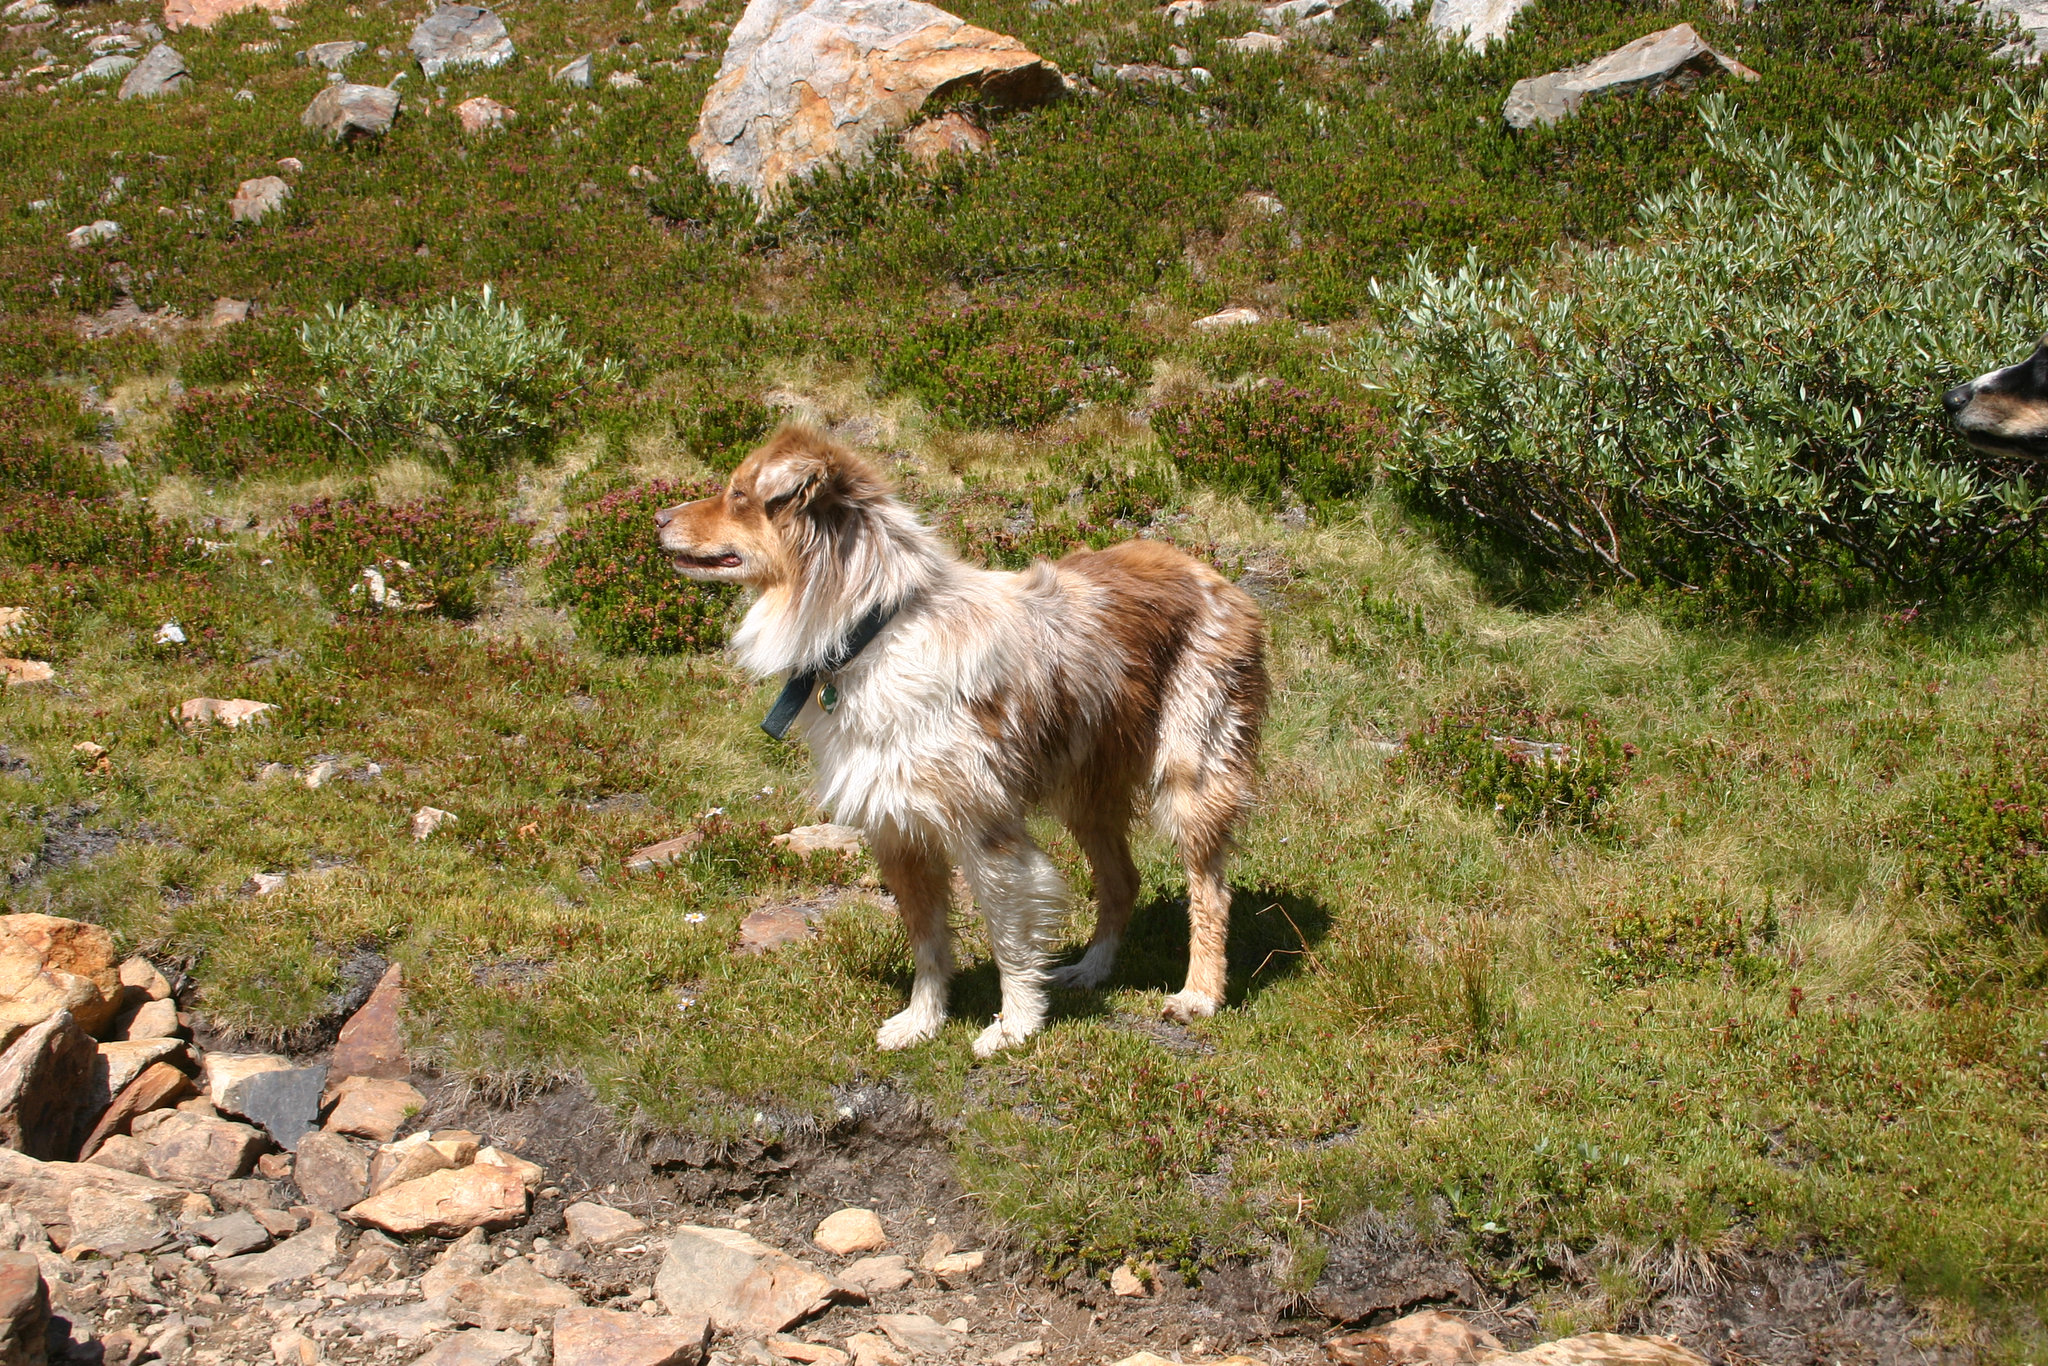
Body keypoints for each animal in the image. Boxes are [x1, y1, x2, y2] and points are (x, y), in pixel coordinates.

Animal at [655, 428, 1261, 1056]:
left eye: (738, 494)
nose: (657, 518)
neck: (870, 631)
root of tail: (1213, 574)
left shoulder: (983, 826)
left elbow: (1009, 936)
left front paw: (1015, 1025)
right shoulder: (896, 827)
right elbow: (927, 940)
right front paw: (922, 1020)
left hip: (1193, 772)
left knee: (1210, 891)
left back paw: (1199, 994)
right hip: (1085, 789)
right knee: (1122, 882)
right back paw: (1092, 970)